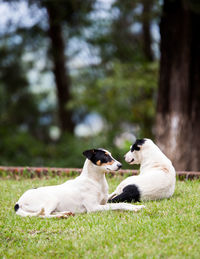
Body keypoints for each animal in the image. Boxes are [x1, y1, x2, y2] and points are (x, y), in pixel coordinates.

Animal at [14, 148, 145, 217]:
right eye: (105, 157)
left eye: (111, 156)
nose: (120, 165)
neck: (96, 181)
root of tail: (18, 203)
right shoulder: (94, 207)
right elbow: (120, 204)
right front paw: (134, 208)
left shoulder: (104, 203)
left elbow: (121, 203)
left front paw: (136, 207)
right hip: (51, 199)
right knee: (44, 215)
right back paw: (61, 215)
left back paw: (66, 212)